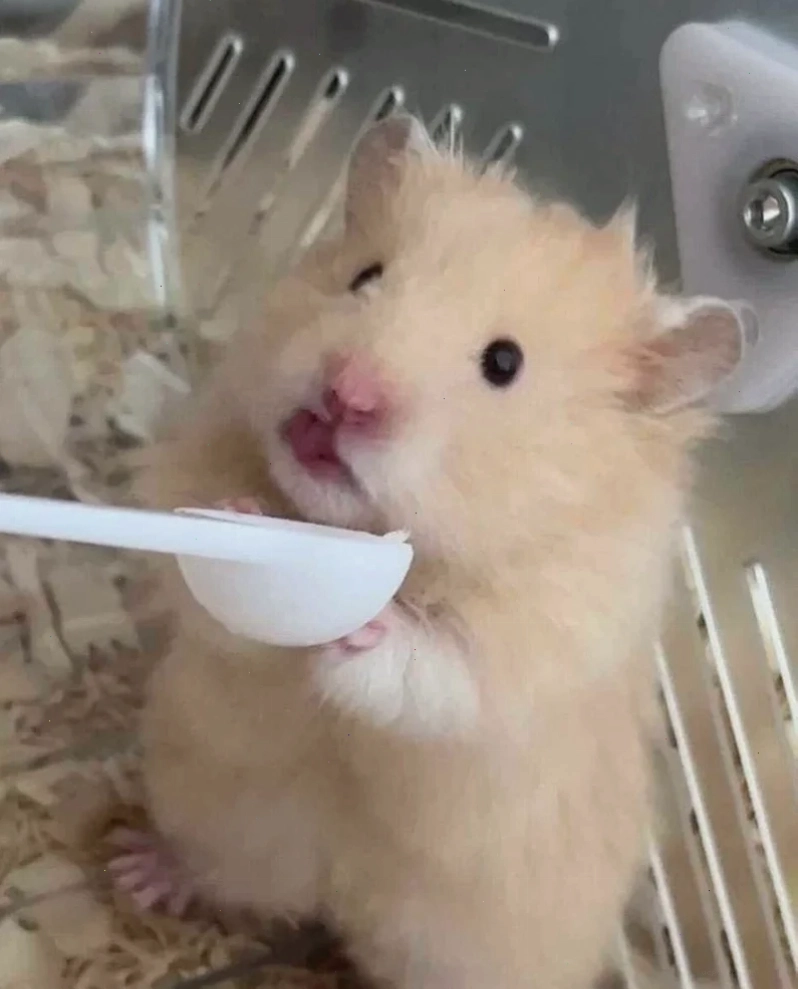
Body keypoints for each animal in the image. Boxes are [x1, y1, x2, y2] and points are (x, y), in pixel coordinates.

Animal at [114, 116, 743, 989]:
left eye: (504, 362)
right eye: (365, 276)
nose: (346, 392)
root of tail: (335, 900)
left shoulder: (550, 634)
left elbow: (439, 672)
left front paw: (365, 627)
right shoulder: (194, 467)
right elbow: (213, 600)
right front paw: (246, 520)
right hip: (210, 799)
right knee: (226, 875)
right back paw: (138, 868)